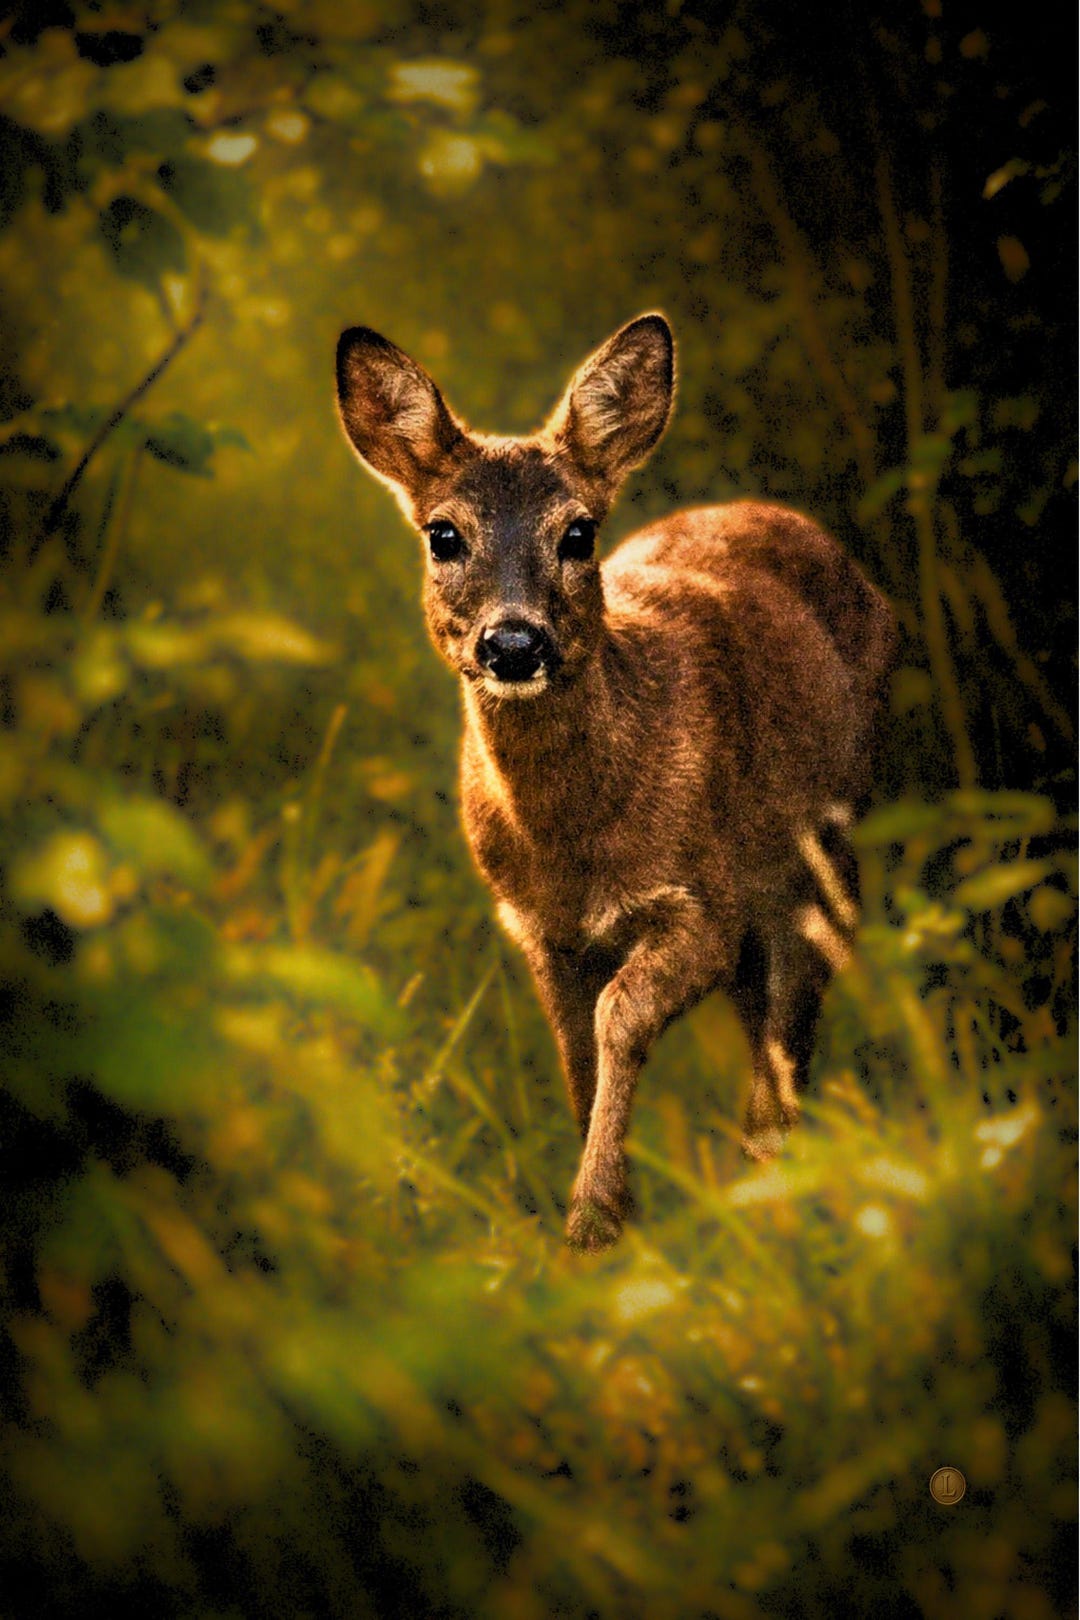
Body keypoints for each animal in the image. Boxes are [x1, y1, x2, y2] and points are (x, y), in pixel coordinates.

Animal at [335, 313, 896, 1252]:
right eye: (443, 534)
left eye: (578, 534)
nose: (513, 644)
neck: (573, 845)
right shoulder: (534, 926)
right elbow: (575, 1049)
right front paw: (606, 1219)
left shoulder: (704, 900)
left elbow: (618, 1018)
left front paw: (595, 1216)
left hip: (827, 841)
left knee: (804, 993)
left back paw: (774, 1173)